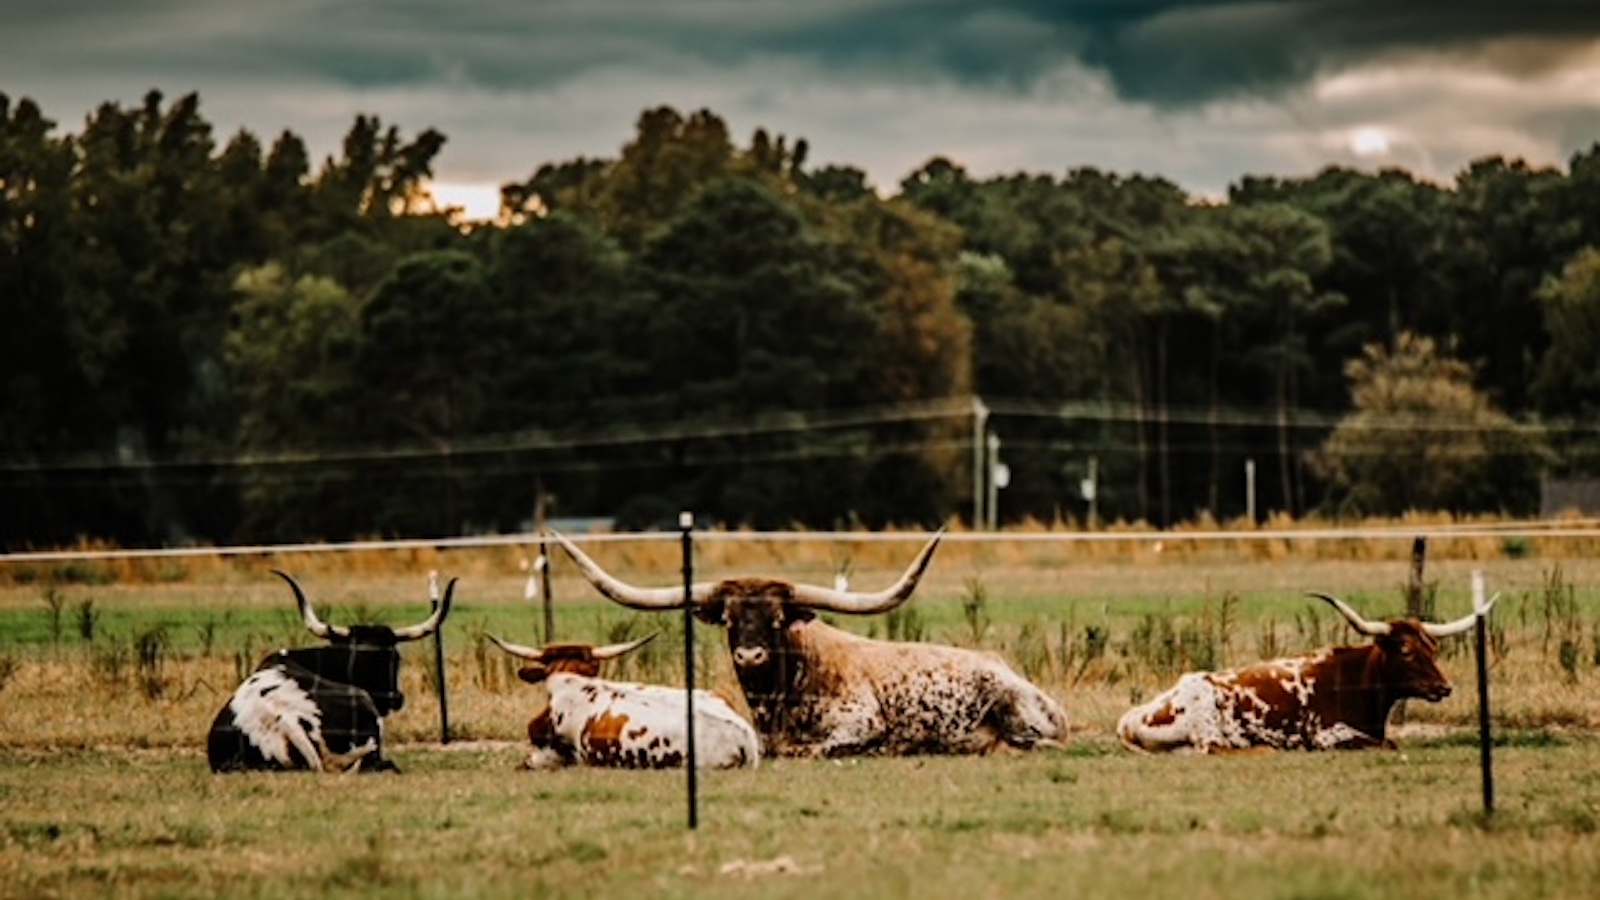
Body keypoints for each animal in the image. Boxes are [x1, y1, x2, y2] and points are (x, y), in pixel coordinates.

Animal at [547, 530, 1069, 758]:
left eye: (777, 620)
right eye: (730, 620)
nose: (751, 654)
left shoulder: (861, 721)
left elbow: (811, 749)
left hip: (1015, 710)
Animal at [1116, 591, 1493, 754]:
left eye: (1432, 648)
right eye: (1405, 650)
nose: (1444, 687)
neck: (1356, 683)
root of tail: (1129, 719)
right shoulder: (1327, 734)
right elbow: (1386, 744)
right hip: (1206, 723)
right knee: (1216, 748)